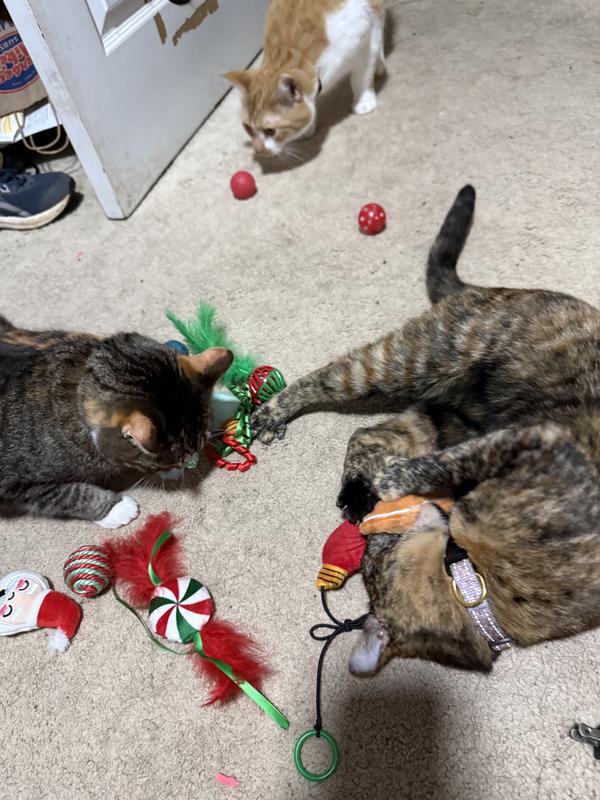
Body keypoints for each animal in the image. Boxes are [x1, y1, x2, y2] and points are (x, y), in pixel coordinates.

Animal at [225, 0, 385, 156]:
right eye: (247, 127)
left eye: (270, 131)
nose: (259, 150)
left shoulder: (366, 37)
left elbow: (361, 77)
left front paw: (363, 101)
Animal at [251, 185, 600, 672]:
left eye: (374, 562)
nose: (367, 537)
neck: (480, 583)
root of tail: (483, 289)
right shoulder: (541, 440)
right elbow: (447, 464)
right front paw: (394, 479)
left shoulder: (521, 442)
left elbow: (440, 463)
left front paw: (389, 480)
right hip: (407, 363)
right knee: (324, 379)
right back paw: (274, 413)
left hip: (443, 416)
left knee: (368, 434)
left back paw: (356, 490)